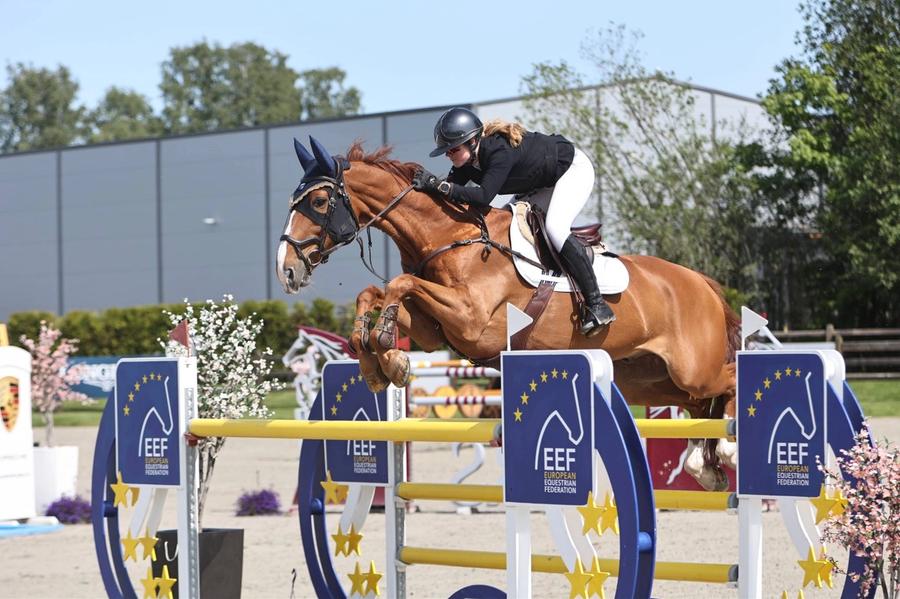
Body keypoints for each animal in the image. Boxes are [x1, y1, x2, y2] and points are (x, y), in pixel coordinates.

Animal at [276, 136, 741, 491]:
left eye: (320, 200)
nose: (286, 270)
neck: (451, 234)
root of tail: (704, 284)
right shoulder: (434, 330)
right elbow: (374, 292)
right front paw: (380, 361)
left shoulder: (472, 321)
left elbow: (398, 284)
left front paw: (389, 353)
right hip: (648, 379)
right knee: (700, 405)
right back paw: (705, 466)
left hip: (692, 368)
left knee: (729, 379)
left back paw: (728, 448)